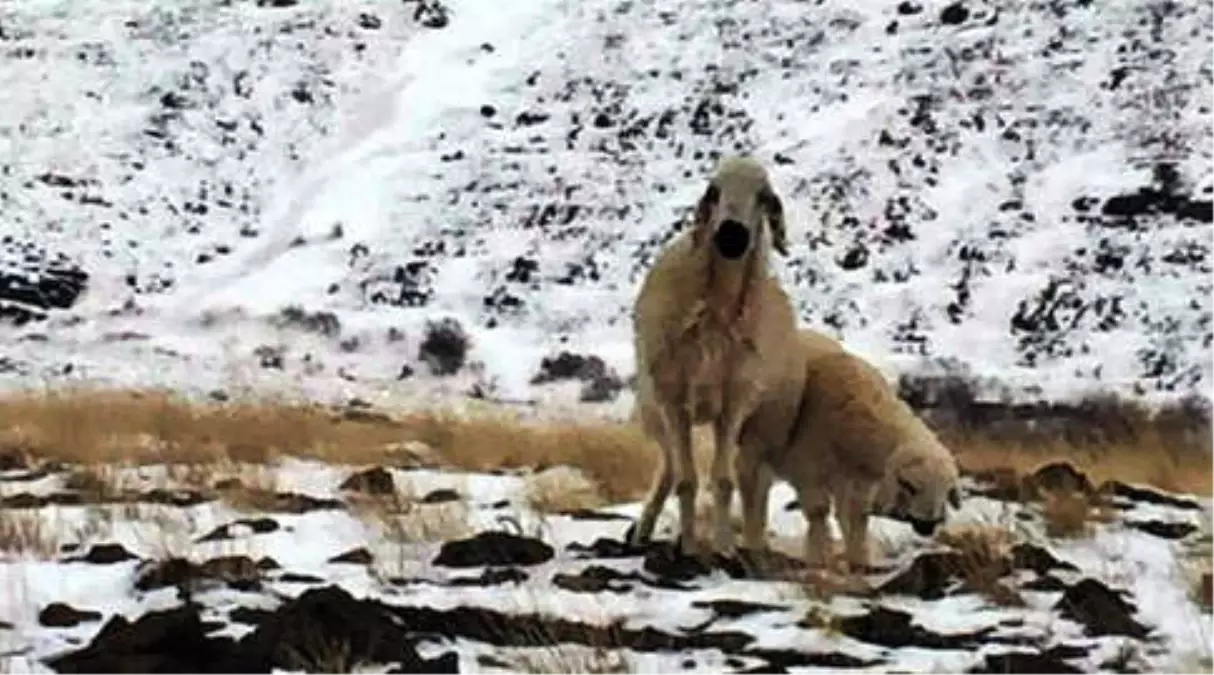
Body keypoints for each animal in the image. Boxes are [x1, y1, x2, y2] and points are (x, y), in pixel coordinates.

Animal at [626, 155, 806, 556]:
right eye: (714, 191)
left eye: (763, 196)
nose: (731, 236)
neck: (718, 307)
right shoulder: (673, 400)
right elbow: (686, 480)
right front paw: (690, 548)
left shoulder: (734, 404)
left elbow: (723, 480)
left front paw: (724, 547)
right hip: (653, 409)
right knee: (668, 466)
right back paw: (643, 529)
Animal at [733, 330, 961, 570]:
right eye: (908, 485)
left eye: (948, 489)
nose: (928, 526)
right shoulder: (808, 468)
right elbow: (818, 511)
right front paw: (818, 558)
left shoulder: (857, 481)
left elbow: (857, 515)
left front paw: (858, 559)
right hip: (749, 442)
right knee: (747, 486)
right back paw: (752, 542)